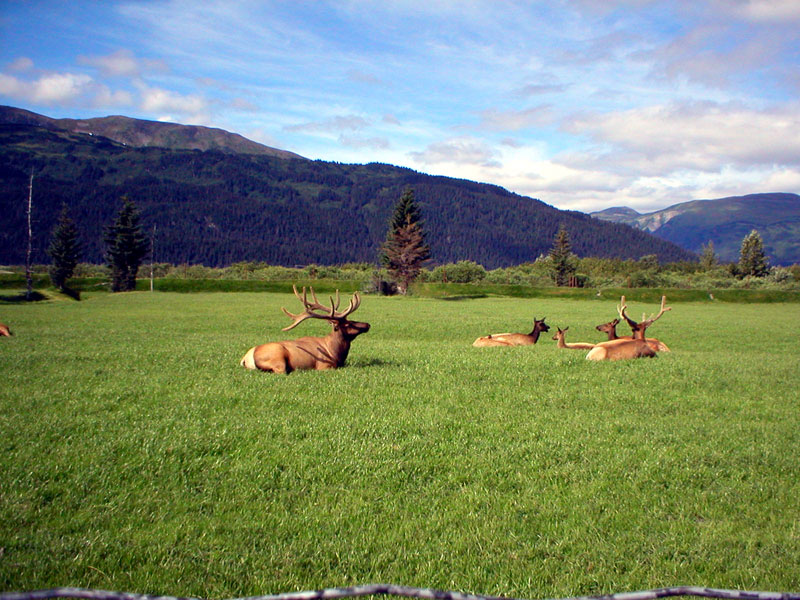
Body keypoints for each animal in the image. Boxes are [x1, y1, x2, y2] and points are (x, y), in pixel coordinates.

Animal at [240, 285, 370, 373]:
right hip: (278, 359)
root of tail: (246, 359)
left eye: (351, 320)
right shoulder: (324, 365)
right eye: (348, 324)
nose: (367, 324)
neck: (335, 352)